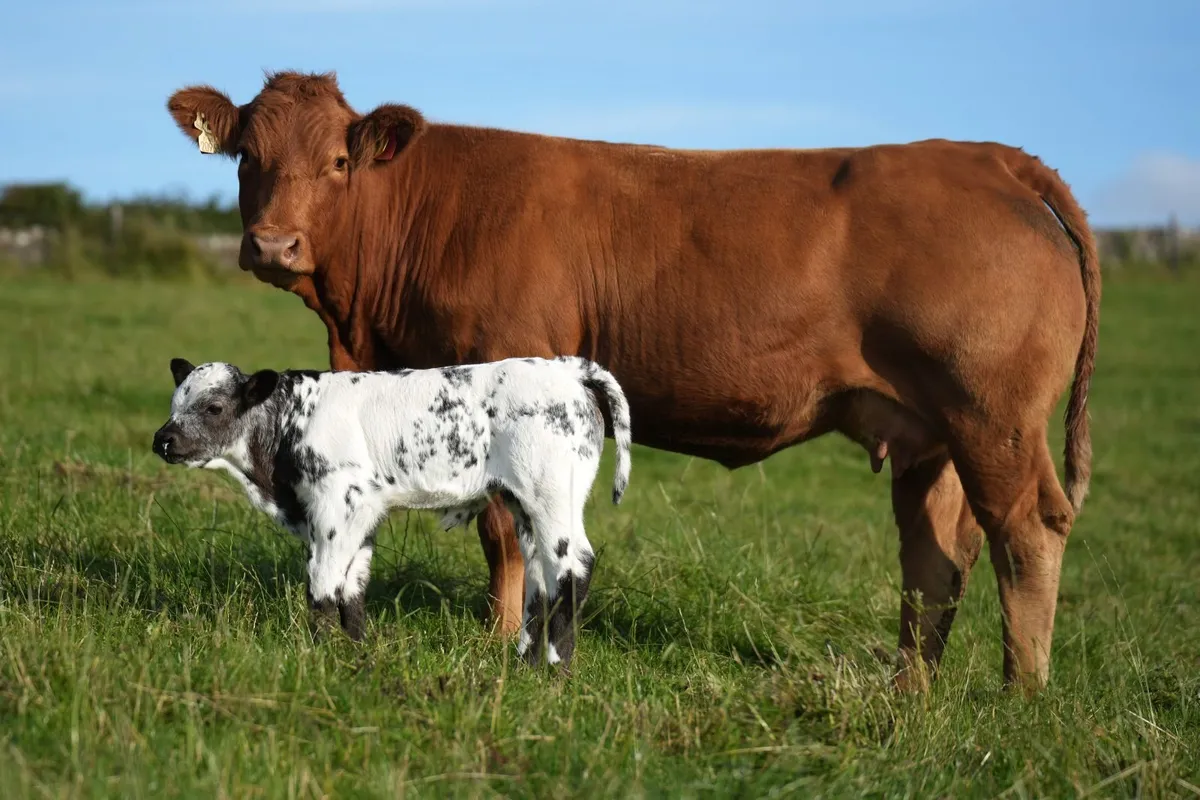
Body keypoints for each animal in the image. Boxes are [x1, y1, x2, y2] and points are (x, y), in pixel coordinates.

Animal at [166, 71, 1100, 692]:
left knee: (1026, 532)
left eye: (336, 161)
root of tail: (990, 157)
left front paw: (501, 640)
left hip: (992, 418)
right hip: (927, 432)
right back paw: (911, 692)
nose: (273, 244)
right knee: (935, 557)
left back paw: (1021, 697)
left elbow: (505, 532)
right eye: (246, 155)